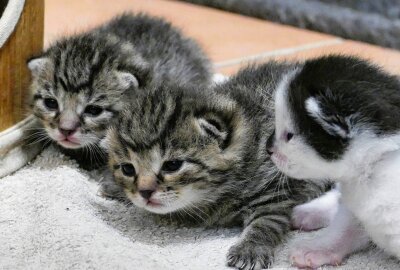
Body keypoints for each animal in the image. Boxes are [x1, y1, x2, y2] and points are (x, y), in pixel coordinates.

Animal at [104, 61, 330, 270]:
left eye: (172, 165)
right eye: (128, 169)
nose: (144, 192)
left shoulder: (276, 188)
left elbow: (266, 220)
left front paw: (250, 249)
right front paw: (114, 188)